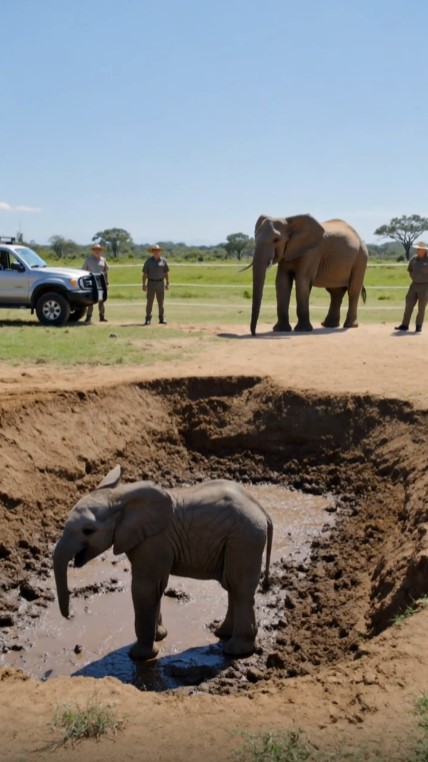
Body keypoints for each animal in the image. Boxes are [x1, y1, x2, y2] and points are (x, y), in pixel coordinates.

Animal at [53, 465, 273, 661]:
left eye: (88, 531)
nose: (69, 616)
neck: (119, 498)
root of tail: (262, 510)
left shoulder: (153, 542)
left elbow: (144, 589)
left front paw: (139, 656)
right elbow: (156, 588)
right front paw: (159, 636)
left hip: (245, 538)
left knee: (239, 588)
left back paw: (235, 651)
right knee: (232, 587)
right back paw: (223, 634)